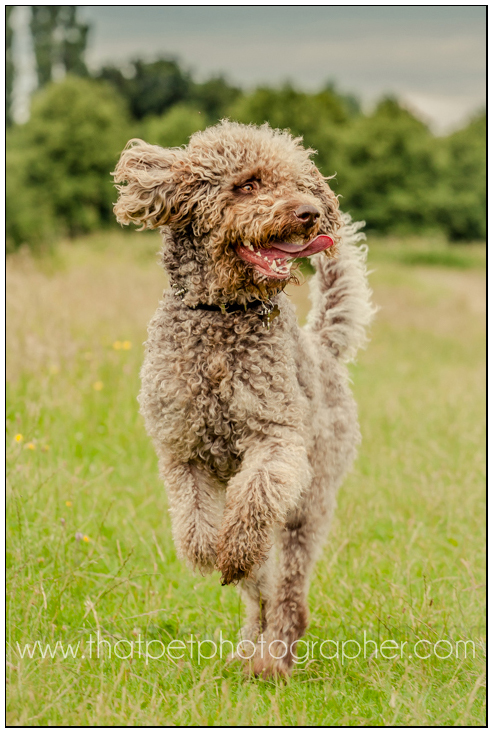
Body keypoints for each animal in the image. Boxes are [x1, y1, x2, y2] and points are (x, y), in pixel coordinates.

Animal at [113, 120, 374, 678]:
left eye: (298, 182)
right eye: (248, 184)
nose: (310, 211)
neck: (221, 315)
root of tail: (323, 347)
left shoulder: (275, 442)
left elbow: (254, 501)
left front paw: (231, 550)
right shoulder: (182, 452)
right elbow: (195, 528)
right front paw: (215, 553)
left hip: (309, 503)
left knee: (288, 587)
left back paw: (274, 659)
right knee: (263, 590)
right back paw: (248, 648)